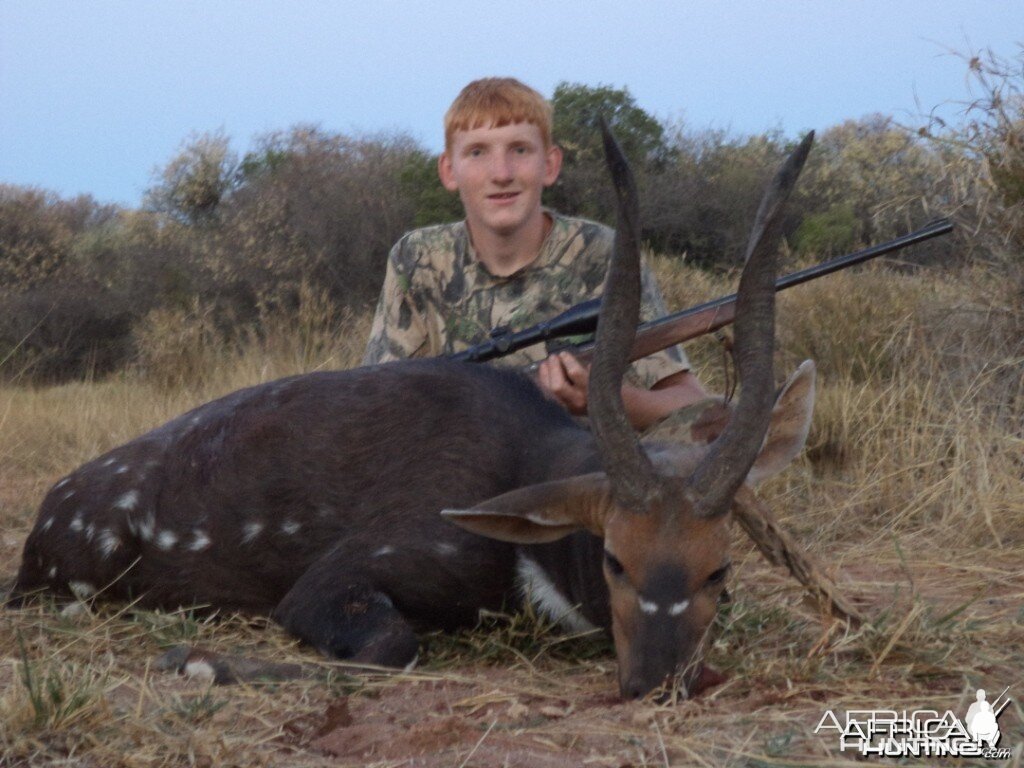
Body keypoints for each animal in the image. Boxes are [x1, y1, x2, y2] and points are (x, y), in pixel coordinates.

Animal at [8, 126, 815, 704]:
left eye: (720, 570)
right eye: (616, 557)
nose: (661, 683)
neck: (521, 464)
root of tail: (50, 510)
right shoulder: (334, 583)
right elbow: (392, 651)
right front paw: (193, 661)